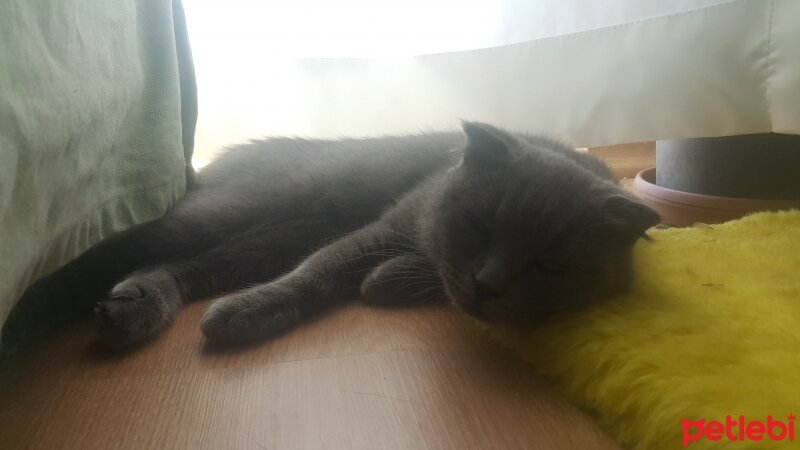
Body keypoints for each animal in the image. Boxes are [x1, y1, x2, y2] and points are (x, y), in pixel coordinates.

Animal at [89, 121, 656, 346]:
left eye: (550, 265)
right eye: (478, 226)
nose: (489, 284)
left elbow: (397, 278)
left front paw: (388, 282)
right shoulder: (383, 228)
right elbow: (320, 271)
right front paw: (251, 310)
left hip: (269, 241)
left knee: (187, 267)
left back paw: (135, 304)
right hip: (234, 211)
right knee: (127, 245)